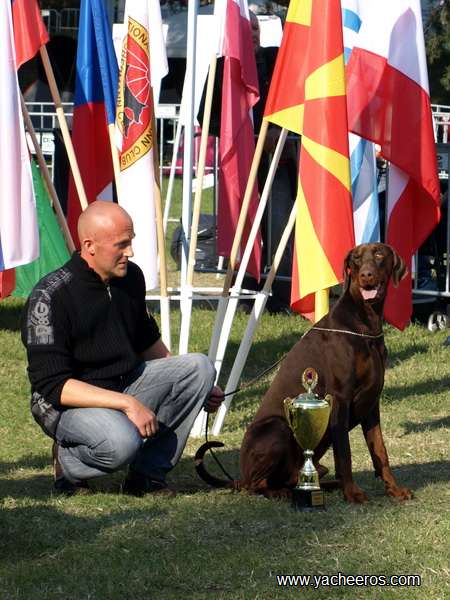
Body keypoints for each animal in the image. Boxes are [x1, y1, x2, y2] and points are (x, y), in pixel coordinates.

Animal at [197, 243, 414, 504]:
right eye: (356, 258)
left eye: (380, 254)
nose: (366, 275)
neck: (365, 326)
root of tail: (240, 475)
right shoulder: (340, 399)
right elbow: (345, 453)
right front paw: (352, 493)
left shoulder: (371, 402)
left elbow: (380, 451)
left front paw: (394, 490)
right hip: (278, 427)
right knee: (255, 485)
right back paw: (280, 491)